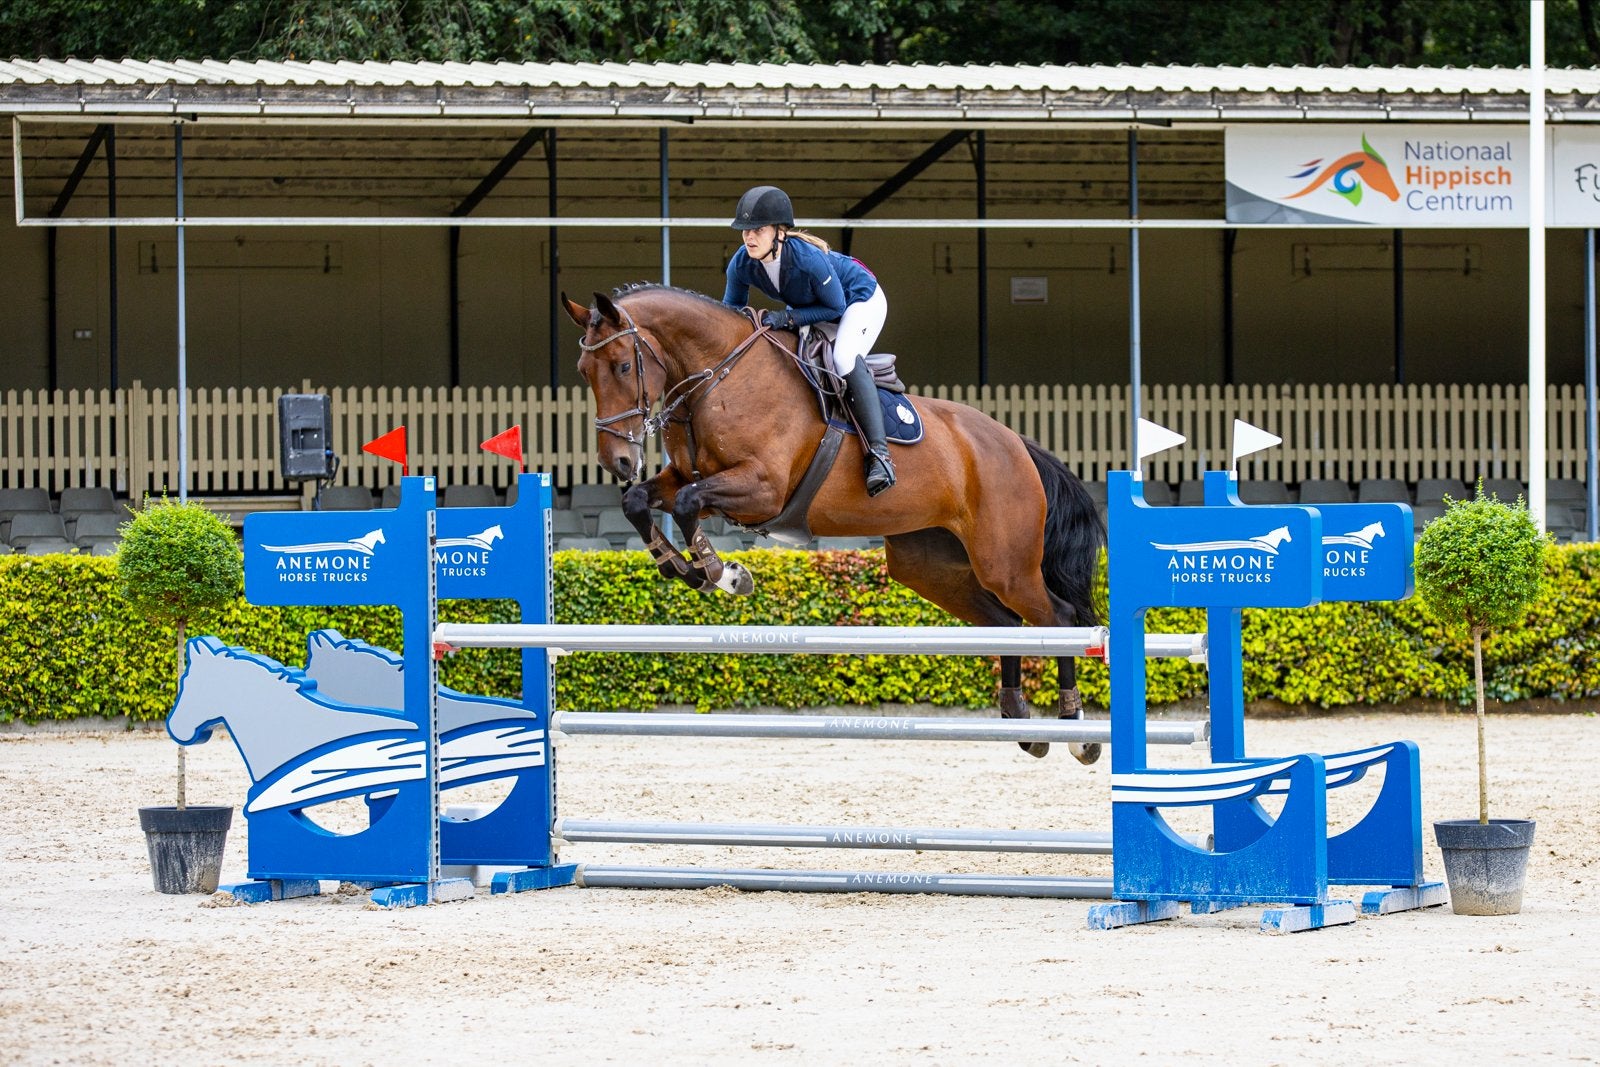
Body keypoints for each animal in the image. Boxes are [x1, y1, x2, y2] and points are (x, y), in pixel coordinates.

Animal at [562, 284, 1106, 762]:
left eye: (623, 365)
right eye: (584, 370)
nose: (617, 461)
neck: (717, 377)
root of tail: (1017, 444)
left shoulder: (762, 488)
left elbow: (687, 505)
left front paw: (726, 575)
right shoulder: (687, 478)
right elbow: (640, 502)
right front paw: (682, 569)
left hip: (1005, 564)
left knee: (1057, 620)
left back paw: (1078, 734)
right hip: (930, 566)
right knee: (1008, 625)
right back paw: (1024, 725)